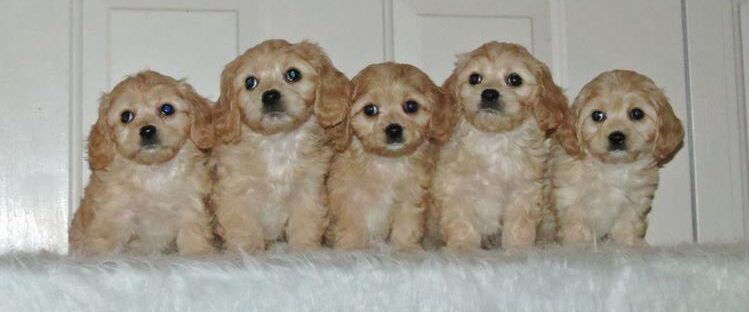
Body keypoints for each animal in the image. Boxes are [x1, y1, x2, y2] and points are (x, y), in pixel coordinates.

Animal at [68, 70, 216, 256]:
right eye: (126, 116)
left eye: (167, 109)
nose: (147, 130)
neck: (154, 172)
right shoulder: (114, 214)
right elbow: (104, 243)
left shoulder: (191, 209)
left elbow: (193, 238)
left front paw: (197, 255)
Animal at [210, 39, 350, 254]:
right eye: (250, 82)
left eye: (293, 74)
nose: (269, 95)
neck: (276, 142)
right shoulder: (237, 193)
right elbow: (244, 230)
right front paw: (247, 253)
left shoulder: (308, 191)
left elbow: (305, 225)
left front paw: (303, 252)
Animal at [324, 62, 452, 251]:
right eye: (370, 110)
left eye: (411, 106)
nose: (394, 129)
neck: (387, 162)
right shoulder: (349, 197)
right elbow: (351, 225)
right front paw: (352, 247)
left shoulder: (410, 196)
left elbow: (407, 225)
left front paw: (405, 247)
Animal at [430, 42, 568, 251]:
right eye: (475, 78)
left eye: (514, 79)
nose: (489, 93)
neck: (494, 138)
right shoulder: (456, 188)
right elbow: (462, 222)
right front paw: (463, 247)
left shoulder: (523, 190)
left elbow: (519, 225)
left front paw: (517, 248)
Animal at [548, 69, 684, 245]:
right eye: (597, 115)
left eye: (637, 113)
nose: (617, 137)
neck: (612, 167)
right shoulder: (570, 200)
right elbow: (576, 229)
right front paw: (577, 247)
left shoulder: (633, 202)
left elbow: (627, 227)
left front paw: (629, 245)